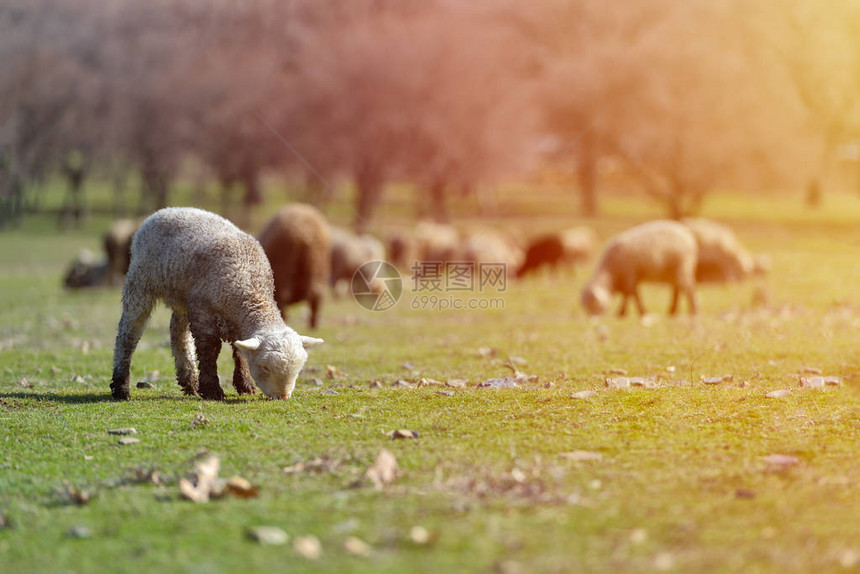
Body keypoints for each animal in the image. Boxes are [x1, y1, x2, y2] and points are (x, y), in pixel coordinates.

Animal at [108, 209, 322, 402]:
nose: (283, 396)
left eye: (298, 370)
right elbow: (209, 352)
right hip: (140, 282)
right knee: (127, 335)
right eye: (265, 367)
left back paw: (189, 383)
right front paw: (212, 390)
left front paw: (245, 385)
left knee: (178, 334)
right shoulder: (205, 316)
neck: (249, 286)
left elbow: (239, 353)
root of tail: (161, 212)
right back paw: (121, 387)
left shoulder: (232, 322)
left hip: (184, 297)